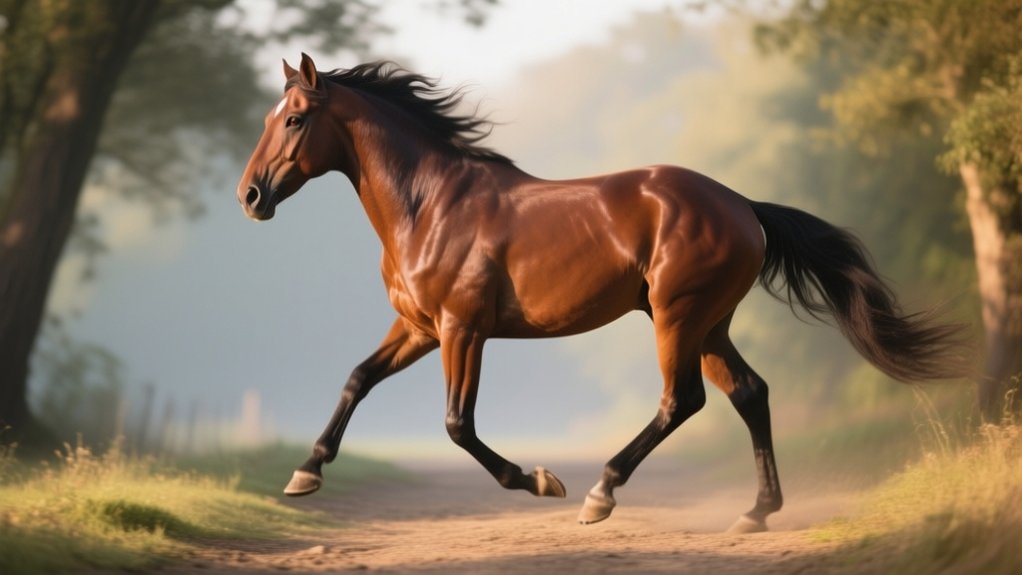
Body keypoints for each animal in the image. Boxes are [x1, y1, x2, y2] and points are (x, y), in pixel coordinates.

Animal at [236, 53, 965, 532]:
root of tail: (743, 207)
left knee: (682, 400)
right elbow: (358, 378)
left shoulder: (461, 328)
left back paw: (601, 494)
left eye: (294, 119)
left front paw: (540, 480)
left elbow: (457, 423)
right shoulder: (418, 327)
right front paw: (305, 473)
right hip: (711, 324)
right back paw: (756, 512)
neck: (432, 206)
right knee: (749, 393)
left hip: (677, 316)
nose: (251, 196)